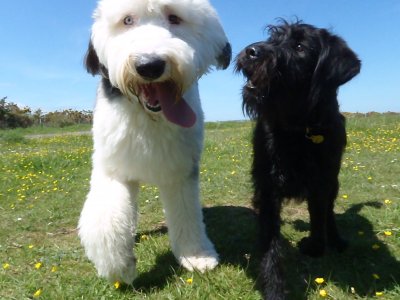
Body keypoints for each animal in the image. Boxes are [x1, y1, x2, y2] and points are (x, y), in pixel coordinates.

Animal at [77, 0, 231, 284]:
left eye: (175, 18)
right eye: (127, 20)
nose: (149, 65)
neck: (149, 116)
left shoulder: (180, 170)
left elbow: (186, 213)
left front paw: (196, 256)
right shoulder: (112, 166)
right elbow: (105, 220)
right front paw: (119, 266)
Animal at [236, 19, 360, 298]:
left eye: (300, 47)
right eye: (273, 38)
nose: (251, 51)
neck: (297, 128)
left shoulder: (321, 182)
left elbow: (319, 214)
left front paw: (315, 246)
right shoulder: (267, 188)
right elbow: (270, 243)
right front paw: (274, 288)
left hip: (334, 183)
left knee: (329, 212)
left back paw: (336, 239)